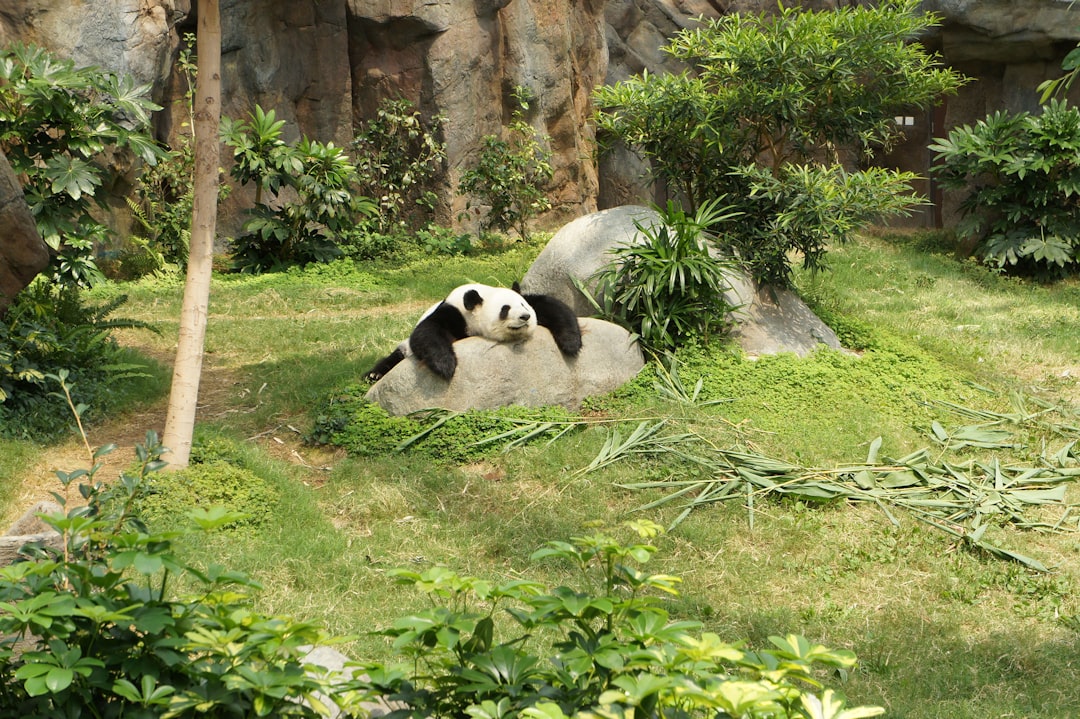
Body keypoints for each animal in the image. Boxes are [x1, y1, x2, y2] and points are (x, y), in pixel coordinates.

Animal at [367, 280, 583, 380]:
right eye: (505, 309)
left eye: (523, 305)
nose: (525, 317)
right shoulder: (452, 313)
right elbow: (426, 332)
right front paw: (446, 365)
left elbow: (553, 306)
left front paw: (571, 344)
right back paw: (374, 375)